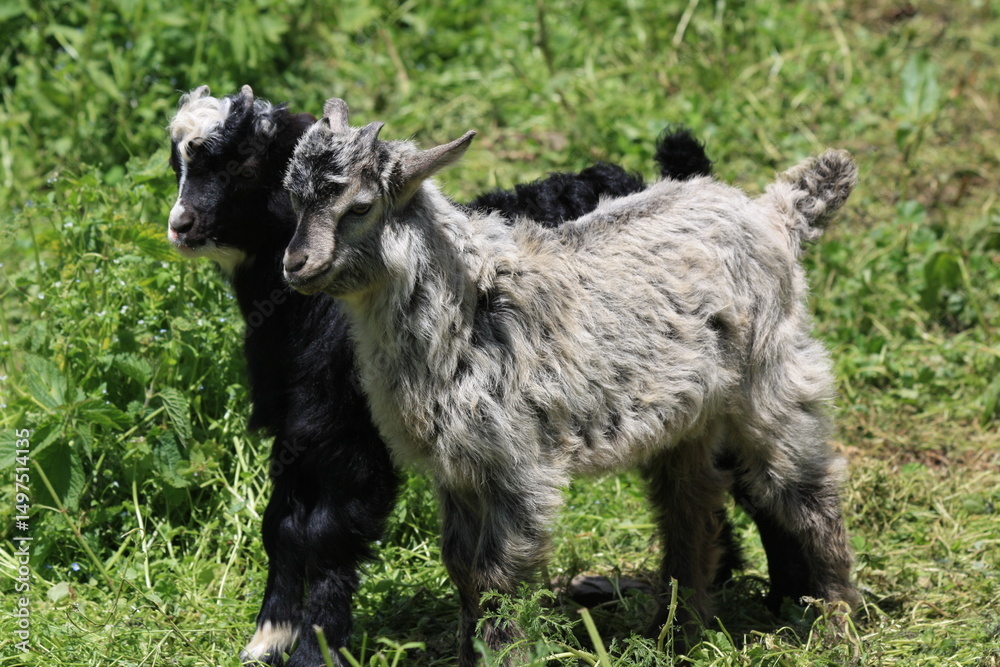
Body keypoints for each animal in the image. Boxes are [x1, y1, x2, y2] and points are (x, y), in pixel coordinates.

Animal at [166, 85, 726, 667]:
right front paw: (270, 636)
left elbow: (323, 532)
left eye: (245, 165)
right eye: (175, 162)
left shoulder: (353, 437)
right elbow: (280, 524)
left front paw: (316, 649)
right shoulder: (300, 428)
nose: (180, 226)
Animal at [282, 98, 861, 666]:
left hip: (773, 377)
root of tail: (772, 213)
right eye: (293, 199)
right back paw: (674, 635)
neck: (469, 306)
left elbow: (495, 573)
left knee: (810, 492)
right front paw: (471, 653)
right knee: (690, 505)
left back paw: (839, 627)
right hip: (687, 414)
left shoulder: (518, 464)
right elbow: (460, 567)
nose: (294, 263)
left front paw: (502, 653)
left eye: (360, 207)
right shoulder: (458, 468)